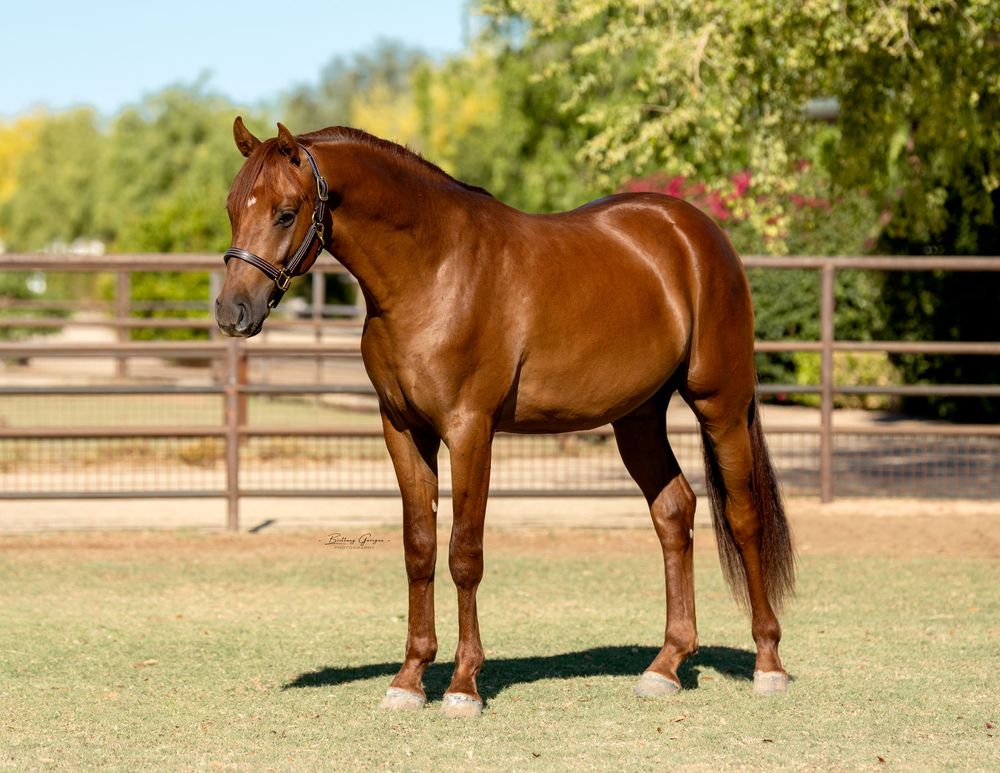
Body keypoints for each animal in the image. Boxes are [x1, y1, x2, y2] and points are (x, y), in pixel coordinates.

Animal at [215, 118, 795, 718]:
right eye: (233, 207)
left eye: (286, 212)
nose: (233, 312)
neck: (434, 269)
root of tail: (698, 233)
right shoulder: (404, 431)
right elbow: (419, 548)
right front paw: (409, 678)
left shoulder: (471, 431)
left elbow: (464, 554)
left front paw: (463, 685)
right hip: (638, 417)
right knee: (674, 512)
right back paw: (666, 666)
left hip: (720, 405)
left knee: (744, 517)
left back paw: (768, 663)